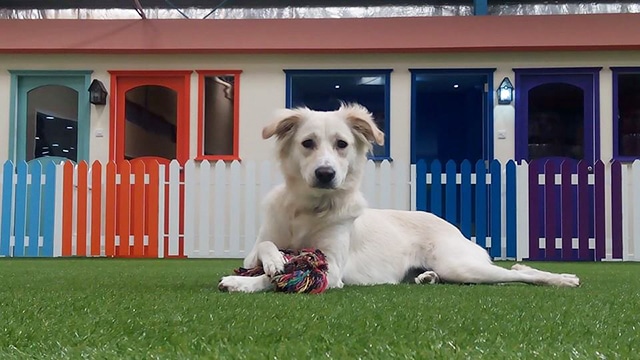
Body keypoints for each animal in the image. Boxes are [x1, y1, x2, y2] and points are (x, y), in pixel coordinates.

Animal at [219, 102, 580, 292]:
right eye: (307, 143)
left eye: (342, 144)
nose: (325, 174)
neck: (309, 209)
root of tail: (453, 228)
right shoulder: (255, 249)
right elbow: (264, 250)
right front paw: (274, 260)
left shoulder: (331, 268)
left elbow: (281, 279)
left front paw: (243, 283)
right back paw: (427, 277)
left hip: (461, 265)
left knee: (519, 274)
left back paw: (562, 278)